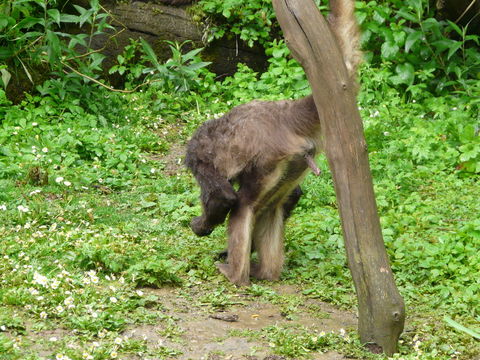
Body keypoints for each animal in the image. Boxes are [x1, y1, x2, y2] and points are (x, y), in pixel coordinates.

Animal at [186, 0, 362, 286]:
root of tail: (284, 114)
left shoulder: (197, 154)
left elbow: (225, 197)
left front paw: (202, 226)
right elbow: (294, 196)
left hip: (270, 160)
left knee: (244, 205)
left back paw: (235, 275)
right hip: (294, 162)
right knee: (271, 206)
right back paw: (265, 272)